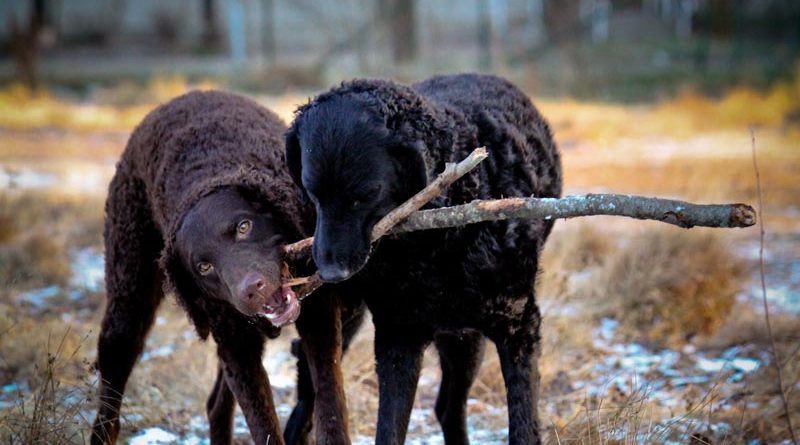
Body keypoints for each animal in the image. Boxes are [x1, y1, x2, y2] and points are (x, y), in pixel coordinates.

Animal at [90, 91, 362, 444]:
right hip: (128, 296)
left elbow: (329, 405)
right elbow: (263, 424)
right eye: (204, 266)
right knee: (112, 389)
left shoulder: (320, 319)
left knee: (216, 404)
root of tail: (185, 95)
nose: (251, 289)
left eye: (244, 226)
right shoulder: (236, 345)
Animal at [288, 74, 564, 442]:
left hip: (464, 337)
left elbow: (524, 425)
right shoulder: (398, 334)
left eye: (365, 195)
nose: (332, 273)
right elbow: (388, 429)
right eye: (312, 191)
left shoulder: (519, 325)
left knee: (448, 407)